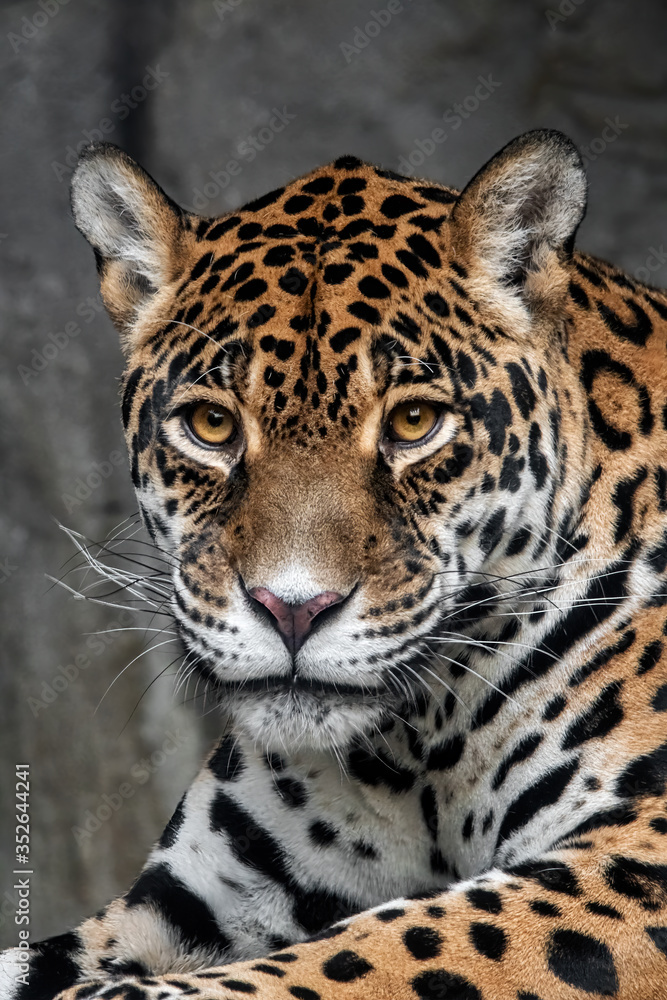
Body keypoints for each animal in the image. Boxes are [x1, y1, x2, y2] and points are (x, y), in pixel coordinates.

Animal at [3, 128, 667, 1000]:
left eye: (414, 422)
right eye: (211, 425)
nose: (292, 609)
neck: (423, 749)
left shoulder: (636, 855)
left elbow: (380, 949)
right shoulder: (190, 901)